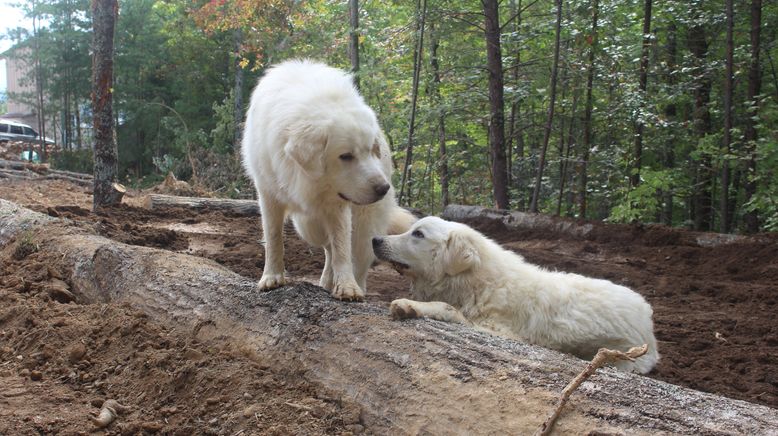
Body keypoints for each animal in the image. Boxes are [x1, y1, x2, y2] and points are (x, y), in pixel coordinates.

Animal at [242, 60, 416, 300]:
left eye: (371, 150)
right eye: (346, 156)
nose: (383, 189)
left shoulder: (339, 206)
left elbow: (342, 249)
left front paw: (348, 287)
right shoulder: (269, 195)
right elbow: (274, 238)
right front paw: (272, 277)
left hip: (362, 223)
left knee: (357, 256)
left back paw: (355, 285)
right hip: (308, 226)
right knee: (327, 248)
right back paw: (326, 282)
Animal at [370, 216, 656, 372]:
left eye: (418, 234)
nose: (375, 239)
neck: (477, 281)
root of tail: (648, 317)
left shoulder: (500, 331)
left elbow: (446, 307)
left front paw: (410, 306)